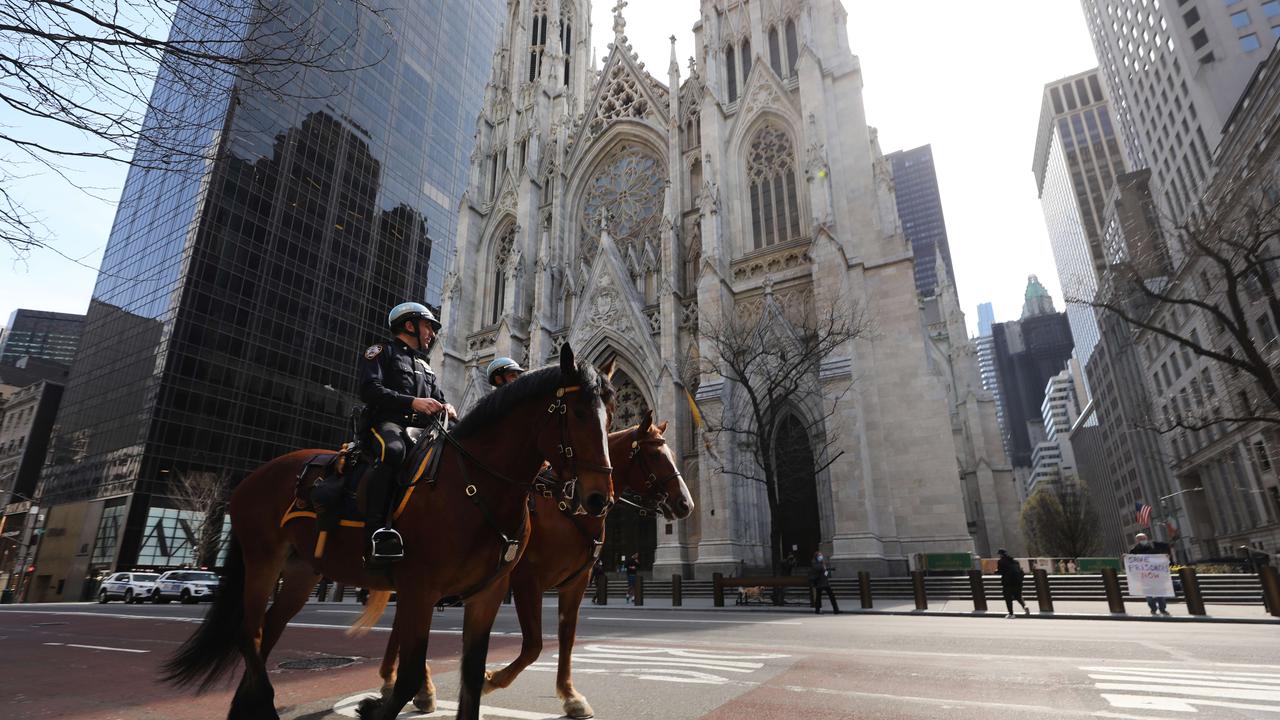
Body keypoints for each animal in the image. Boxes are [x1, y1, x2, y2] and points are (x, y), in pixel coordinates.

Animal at [161, 343, 614, 717]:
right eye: (577, 414)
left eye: (611, 415)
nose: (598, 498)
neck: (473, 485)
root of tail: (253, 476)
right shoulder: (421, 589)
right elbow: (410, 676)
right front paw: (377, 704)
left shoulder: (487, 594)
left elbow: (473, 679)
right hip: (263, 562)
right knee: (248, 631)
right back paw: (267, 703)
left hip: (301, 572)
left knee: (266, 631)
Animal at [360, 409, 696, 712]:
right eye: (655, 455)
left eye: (672, 452)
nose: (686, 504)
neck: (567, 505)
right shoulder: (527, 581)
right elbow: (534, 645)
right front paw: (491, 679)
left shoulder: (576, 582)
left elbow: (566, 637)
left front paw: (569, 695)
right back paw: (410, 683)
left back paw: (403, 682)